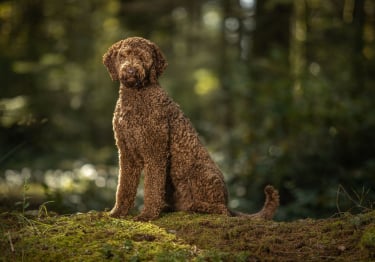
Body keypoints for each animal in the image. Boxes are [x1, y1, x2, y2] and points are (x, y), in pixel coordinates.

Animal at [103, 36, 280, 221]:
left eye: (142, 57)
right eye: (123, 56)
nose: (130, 70)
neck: (136, 97)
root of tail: (228, 203)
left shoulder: (155, 153)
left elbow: (152, 188)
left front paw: (147, 215)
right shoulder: (126, 153)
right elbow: (123, 187)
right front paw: (117, 212)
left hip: (201, 174)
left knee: (221, 210)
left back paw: (195, 206)